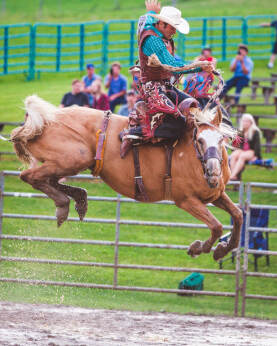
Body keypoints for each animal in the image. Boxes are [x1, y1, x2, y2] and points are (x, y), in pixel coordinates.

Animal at [9, 96, 240, 260]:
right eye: (199, 140)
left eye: (221, 140)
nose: (213, 173)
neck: (189, 153)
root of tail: (43, 121)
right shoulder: (186, 200)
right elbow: (217, 226)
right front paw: (198, 248)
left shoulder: (216, 195)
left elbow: (237, 215)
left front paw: (222, 250)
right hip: (73, 158)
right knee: (29, 176)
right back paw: (63, 205)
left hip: (68, 162)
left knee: (47, 180)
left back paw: (79, 200)